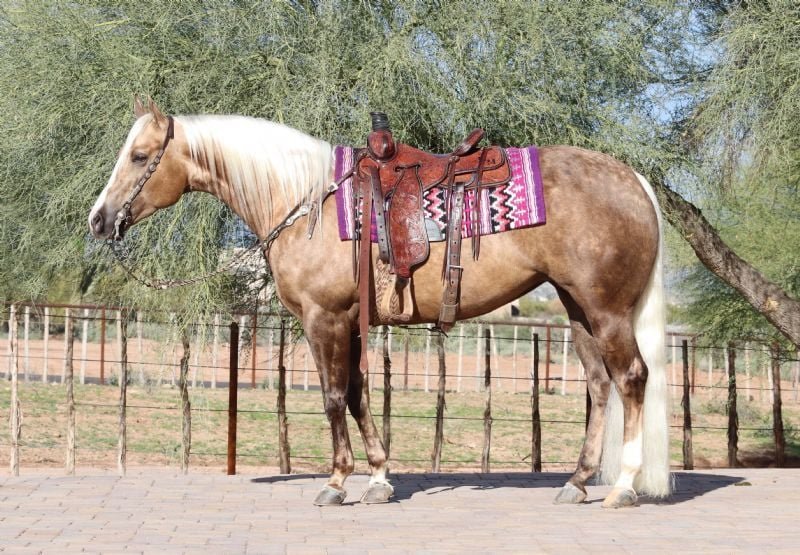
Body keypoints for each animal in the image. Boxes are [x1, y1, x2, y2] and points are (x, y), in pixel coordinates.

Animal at [89, 97, 671, 508]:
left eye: (139, 156)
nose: (99, 220)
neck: (305, 201)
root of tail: (634, 180)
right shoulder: (349, 321)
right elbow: (356, 394)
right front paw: (378, 478)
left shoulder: (323, 319)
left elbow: (331, 397)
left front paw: (335, 482)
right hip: (578, 309)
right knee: (598, 387)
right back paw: (577, 482)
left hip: (607, 311)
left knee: (631, 379)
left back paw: (623, 486)